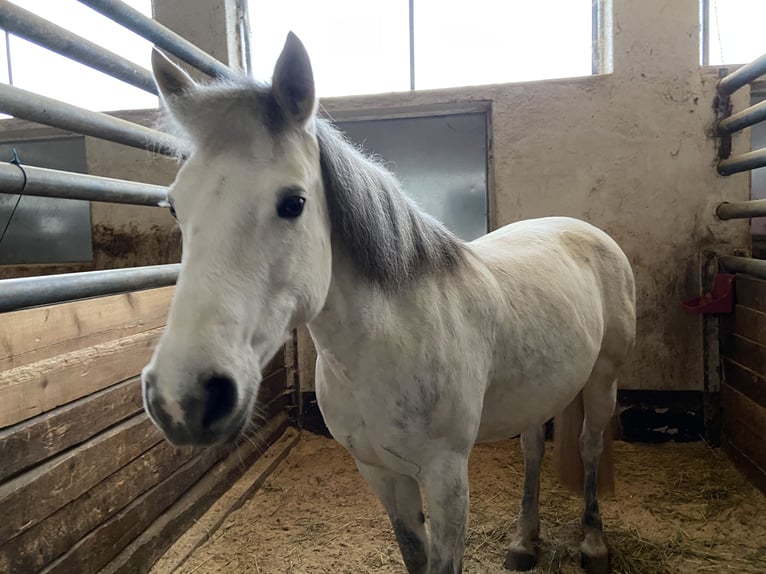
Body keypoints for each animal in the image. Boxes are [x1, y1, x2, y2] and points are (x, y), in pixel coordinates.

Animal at [141, 32, 636, 574]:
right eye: (174, 206)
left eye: (293, 202)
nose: (183, 399)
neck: (387, 340)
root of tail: (579, 228)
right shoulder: (380, 472)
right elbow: (413, 553)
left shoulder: (446, 478)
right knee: (532, 449)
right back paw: (524, 541)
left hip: (604, 377)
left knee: (589, 447)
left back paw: (593, 543)